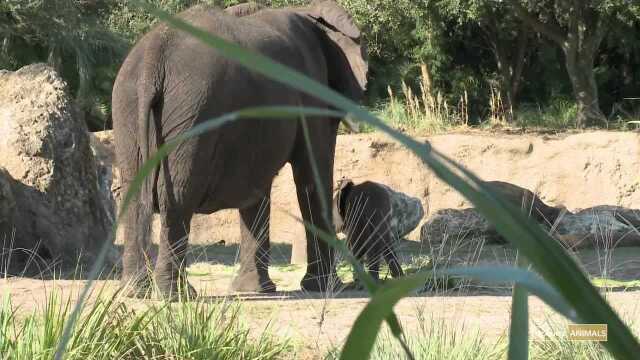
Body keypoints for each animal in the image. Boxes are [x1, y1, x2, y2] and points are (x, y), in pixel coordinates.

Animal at [112, 0, 368, 298]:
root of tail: (153, 55)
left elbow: (257, 187)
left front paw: (257, 290)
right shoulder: (310, 91)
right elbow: (311, 176)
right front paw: (325, 288)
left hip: (129, 106)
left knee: (134, 192)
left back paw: (135, 291)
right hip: (193, 110)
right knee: (177, 196)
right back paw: (176, 295)